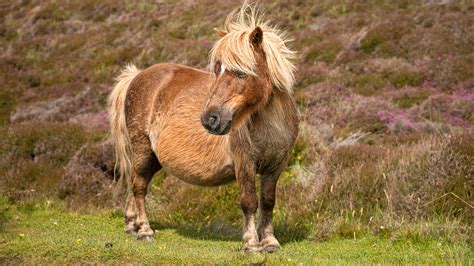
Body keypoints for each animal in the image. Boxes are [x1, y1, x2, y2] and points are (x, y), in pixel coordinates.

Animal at [109, 4, 298, 254]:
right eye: (217, 70)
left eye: (240, 72)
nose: (210, 120)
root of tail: (138, 76)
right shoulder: (244, 163)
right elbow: (249, 201)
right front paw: (251, 244)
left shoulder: (276, 165)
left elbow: (268, 201)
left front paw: (269, 242)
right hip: (142, 149)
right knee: (139, 186)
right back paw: (145, 230)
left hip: (155, 158)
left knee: (136, 182)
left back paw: (132, 225)